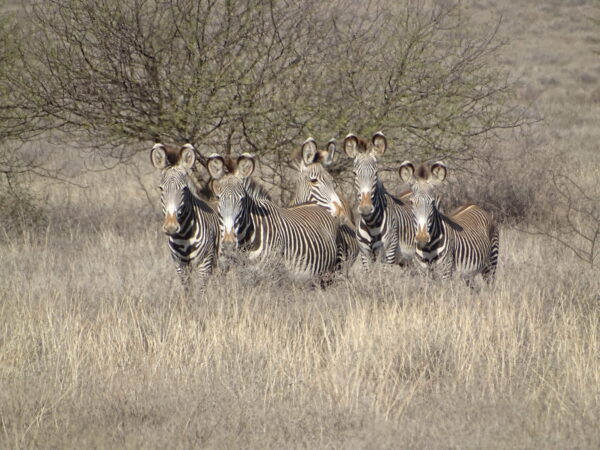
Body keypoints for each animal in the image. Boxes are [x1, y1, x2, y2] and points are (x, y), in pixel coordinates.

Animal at [151, 142, 221, 288]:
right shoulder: (180, 265)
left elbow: (201, 290)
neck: (184, 236)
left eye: (184, 188)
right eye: (161, 188)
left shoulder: (204, 264)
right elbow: (187, 290)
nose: (171, 227)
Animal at [205, 153, 342, 280]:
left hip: (330, 272)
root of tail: (316, 204)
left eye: (242, 199)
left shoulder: (267, 274)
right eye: (219, 198)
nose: (228, 244)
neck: (246, 241)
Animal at [344, 133, 414, 268]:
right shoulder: (365, 255)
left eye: (376, 173)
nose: (366, 208)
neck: (371, 223)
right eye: (354, 173)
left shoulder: (389, 254)